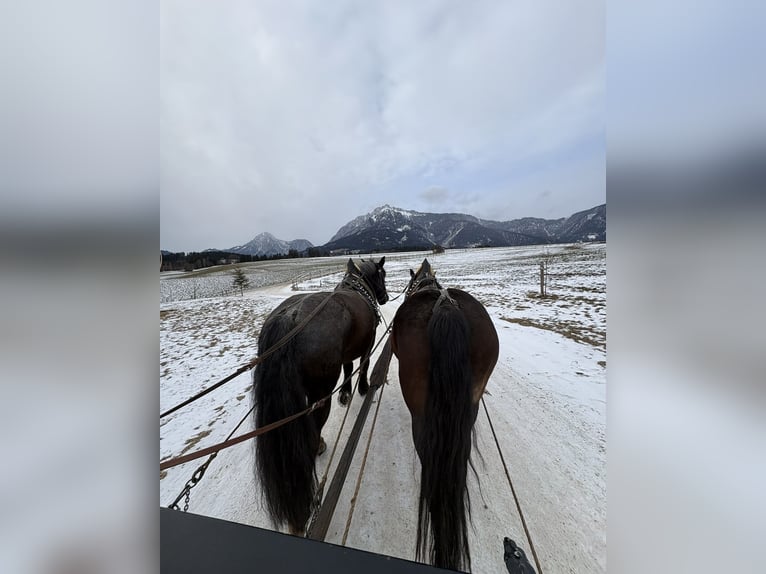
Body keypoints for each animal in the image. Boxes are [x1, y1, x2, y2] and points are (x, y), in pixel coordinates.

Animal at [253, 257, 388, 536]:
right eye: (382, 274)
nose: (385, 297)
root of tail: (291, 318)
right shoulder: (367, 344)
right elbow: (363, 365)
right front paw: (362, 388)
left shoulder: (347, 352)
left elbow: (348, 367)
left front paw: (346, 393)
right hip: (321, 392)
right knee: (313, 429)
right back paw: (319, 450)